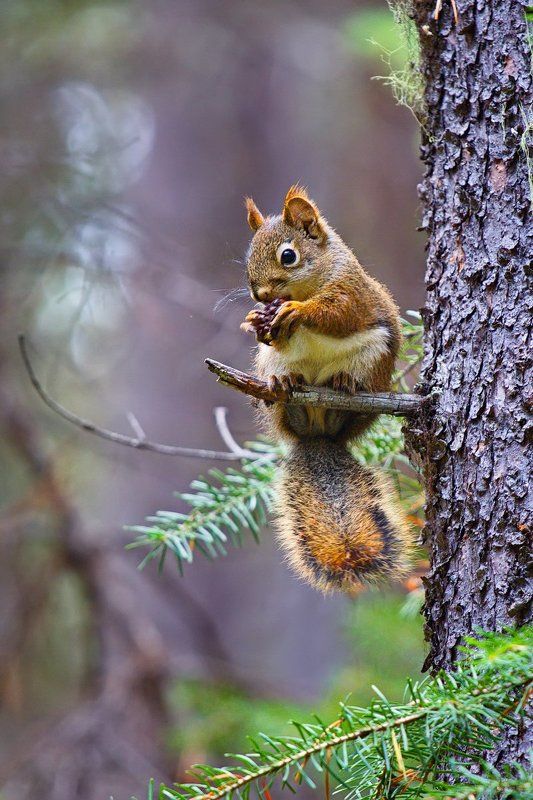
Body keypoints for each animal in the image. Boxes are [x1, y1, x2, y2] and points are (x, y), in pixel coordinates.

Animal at [240, 185, 412, 594]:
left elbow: (336, 316)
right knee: (285, 399)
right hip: (271, 369)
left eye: (288, 256)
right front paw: (257, 322)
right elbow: (274, 338)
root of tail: (319, 435)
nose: (259, 295)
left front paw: (296, 312)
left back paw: (342, 387)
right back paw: (283, 388)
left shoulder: (352, 293)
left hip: (373, 357)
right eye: (247, 255)